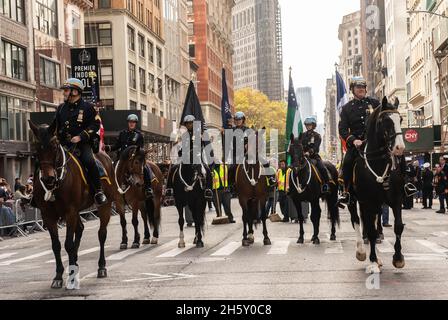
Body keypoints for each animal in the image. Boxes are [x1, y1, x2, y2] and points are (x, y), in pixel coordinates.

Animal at [28, 120, 123, 290]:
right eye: (36, 147)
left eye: (54, 146)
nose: (47, 179)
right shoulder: (48, 215)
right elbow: (57, 245)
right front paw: (58, 276)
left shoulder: (70, 212)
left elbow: (68, 244)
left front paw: (71, 277)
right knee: (80, 229)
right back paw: (76, 262)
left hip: (104, 206)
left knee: (101, 234)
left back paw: (101, 267)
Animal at [352, 97, 408, 272]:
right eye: (385, 121)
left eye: (400, 119)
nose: (399, 148)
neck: (378, 161)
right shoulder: (367, 202)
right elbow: (369, 231)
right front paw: (372, 261)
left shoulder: (396, 199)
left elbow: (398, 226)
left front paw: (398, 258)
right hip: (354, 200)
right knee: (357, 221)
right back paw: (361, 252)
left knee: (374, 226)